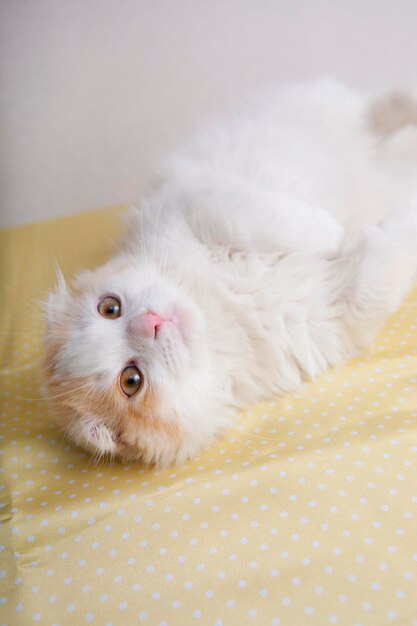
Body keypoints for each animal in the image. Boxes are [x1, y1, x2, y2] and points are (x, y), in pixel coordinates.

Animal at [43, 80, 416, 466]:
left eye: (109, 308)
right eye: (131, 381)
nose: (151, 322)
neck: (219, 302)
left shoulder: (196, 200)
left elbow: (277, 223)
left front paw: (333, 233)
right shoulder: (342, 305)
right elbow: (389, 248)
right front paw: (389, 217)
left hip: (320, 109)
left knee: (374, 110)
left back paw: (408, 102)